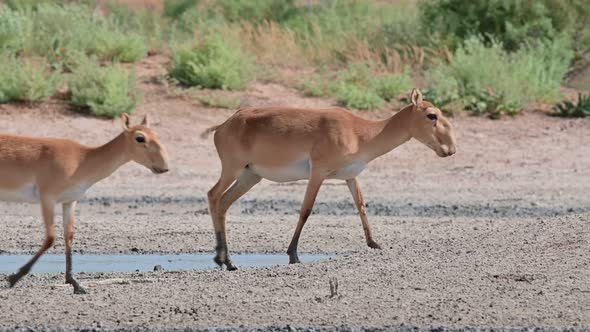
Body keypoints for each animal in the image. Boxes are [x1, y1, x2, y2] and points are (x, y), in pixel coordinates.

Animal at [0, 113, 171, 294]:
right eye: (140, 137)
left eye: (156, 134)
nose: (164, 167)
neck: (82, 160)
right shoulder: (48, 198)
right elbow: (51, 237)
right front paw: (14, 277)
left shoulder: (69, 201)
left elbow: (69, 236)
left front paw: (75, 283)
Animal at [204, 88, 458, 270]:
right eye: (432, 115)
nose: (451, 149)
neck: (360, 133)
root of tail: (223, 125)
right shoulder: (318, 173)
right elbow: (306, 210)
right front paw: (293, 254)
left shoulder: (351, 177)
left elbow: (361, 205)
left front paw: (374, 243)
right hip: (232, 169)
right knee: (213, 196)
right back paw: (224, 259)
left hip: (251, 176)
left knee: (223, 203)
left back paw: (226, 260)